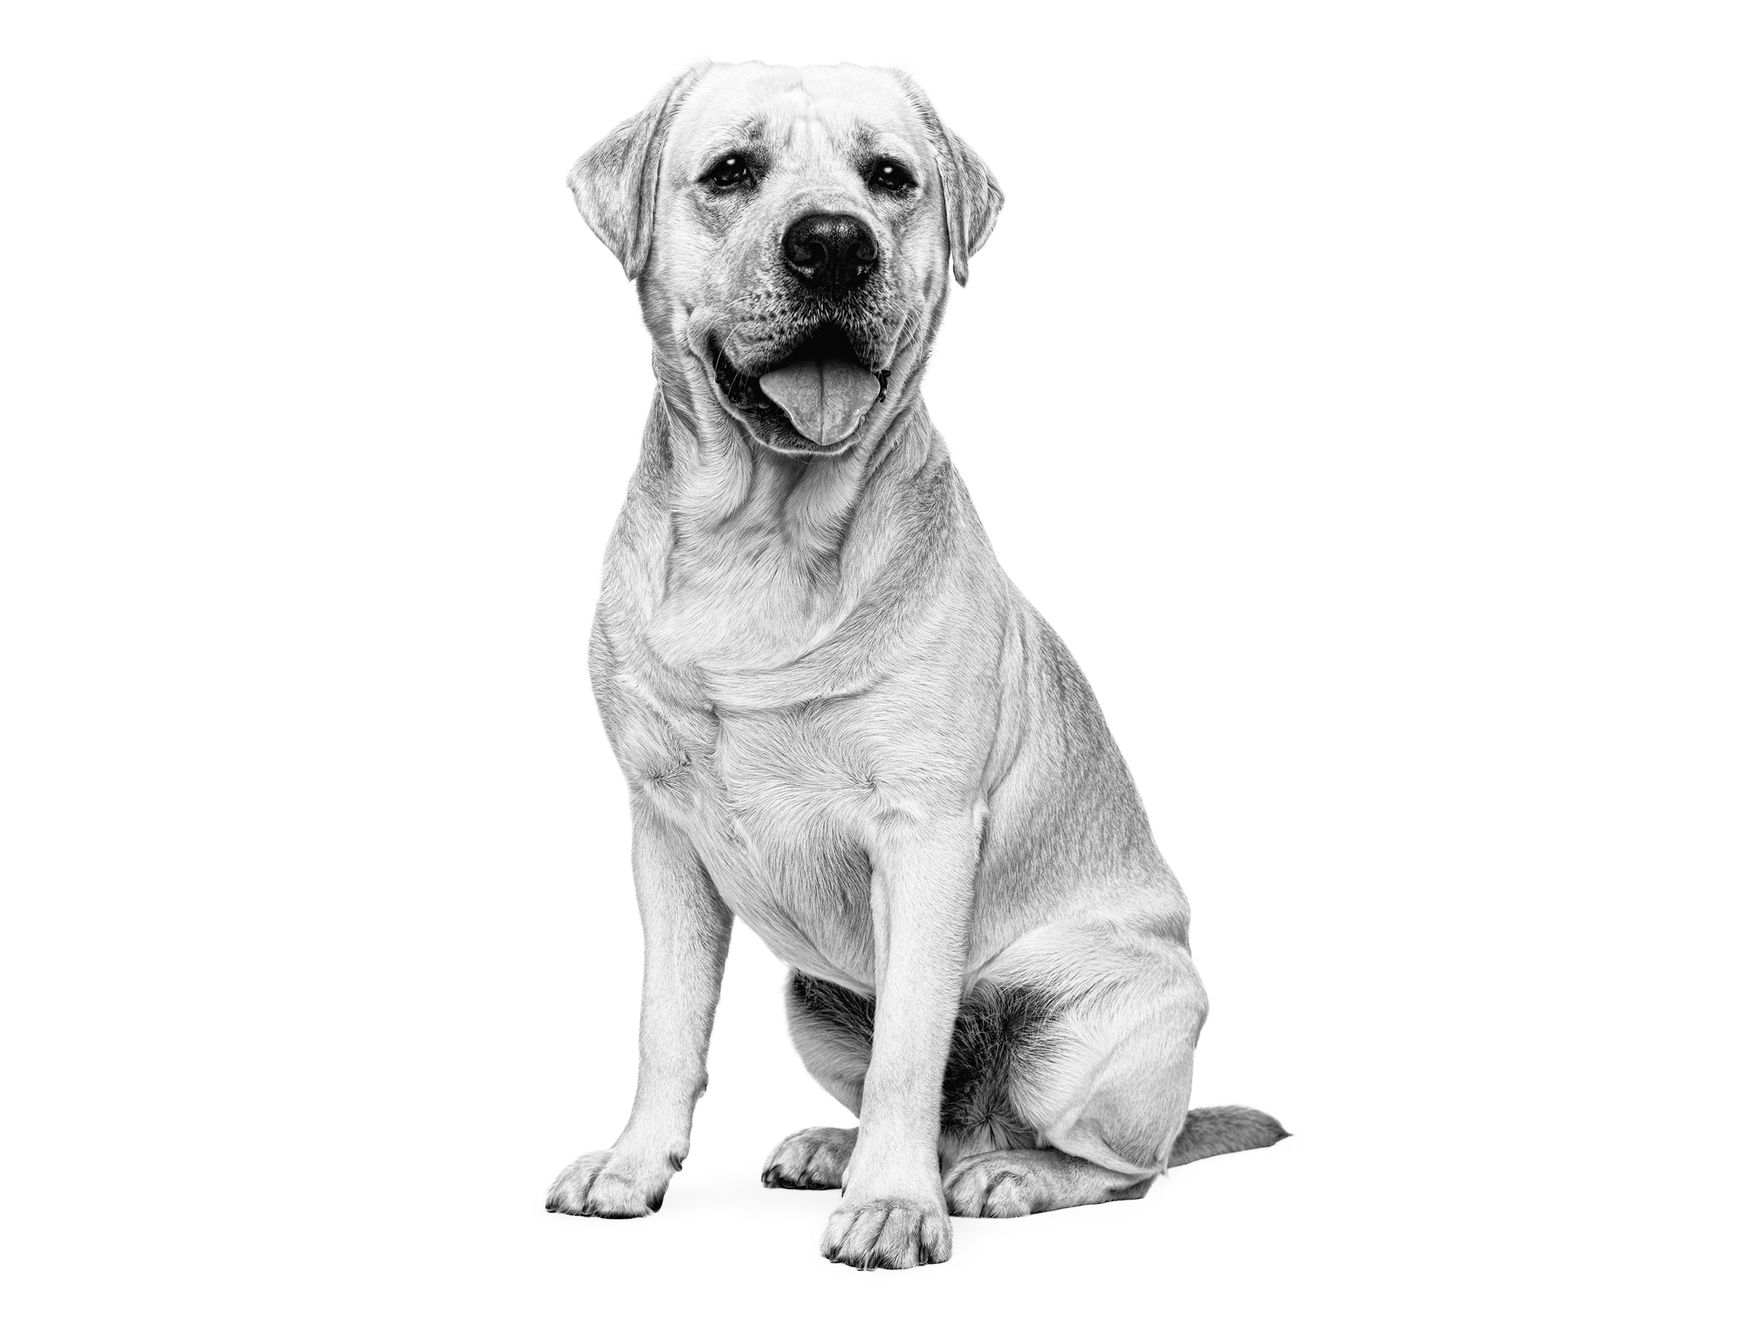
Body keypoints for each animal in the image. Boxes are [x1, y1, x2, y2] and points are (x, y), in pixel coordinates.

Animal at [542, 59, 1288, 1274]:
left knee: (1122, 1166)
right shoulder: (663, 836)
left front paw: (893, 1210)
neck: (767, 537)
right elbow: (666, 1023)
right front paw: (634, 1165)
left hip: (1095, 1022)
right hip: (813, 998)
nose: (834, 245)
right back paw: (837, 1149)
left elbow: (910, 1042)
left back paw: (998, 1176)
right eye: (730, 171)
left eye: (889, 177)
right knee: (944, 1110)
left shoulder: (926, 834)